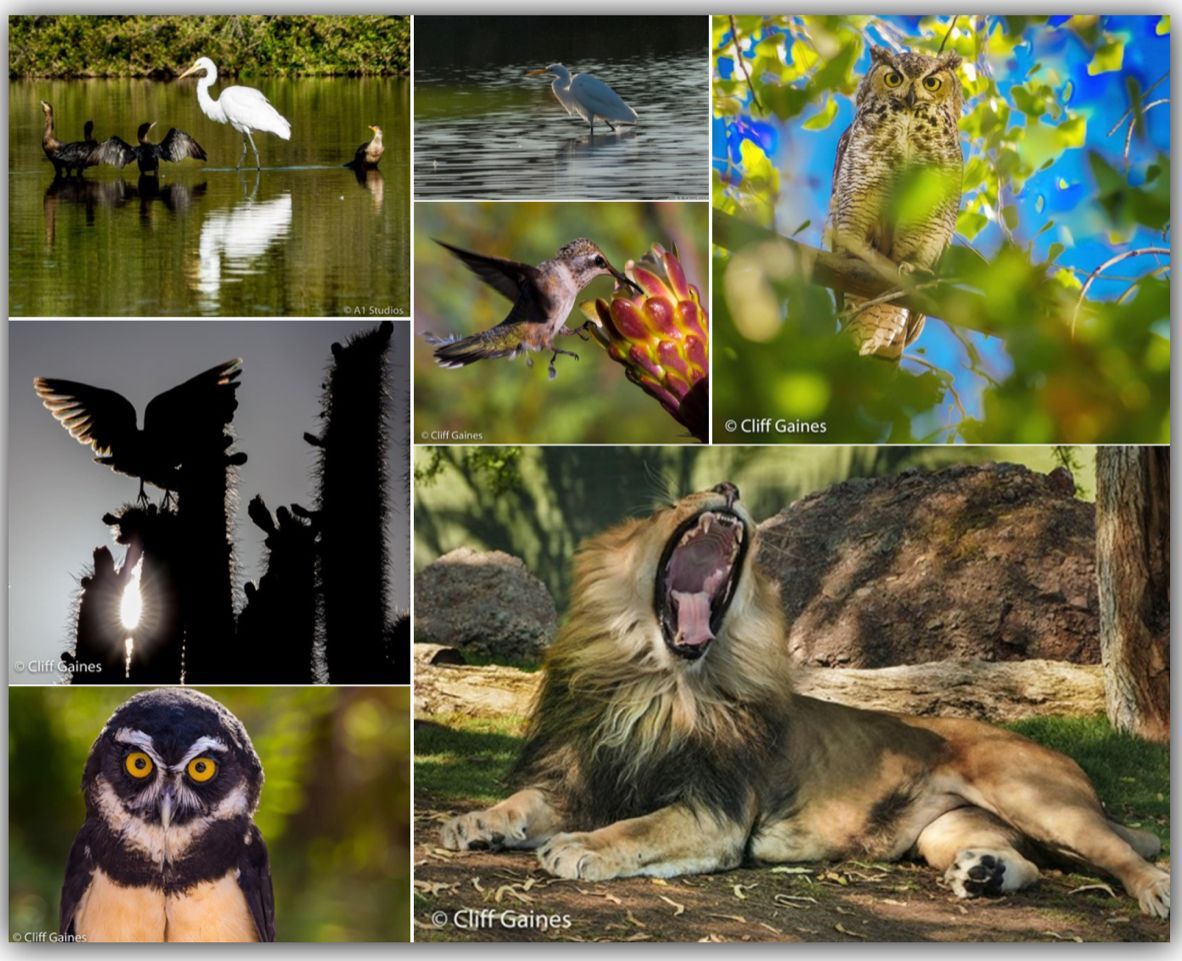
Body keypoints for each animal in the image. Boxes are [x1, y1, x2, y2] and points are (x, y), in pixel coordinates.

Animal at [441, 484, 1170, 919]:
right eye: (668, 505)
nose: (728, 489)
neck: (655, 684)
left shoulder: (716, 814)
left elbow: (637, 828)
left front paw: (580, 847)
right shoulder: (587, 774)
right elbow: (527, 800)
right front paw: (474, 821)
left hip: (1036, 797)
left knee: (1125, 853)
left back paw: (1156, 890)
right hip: (946, 830)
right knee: (1033, 866)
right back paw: (984, 874)